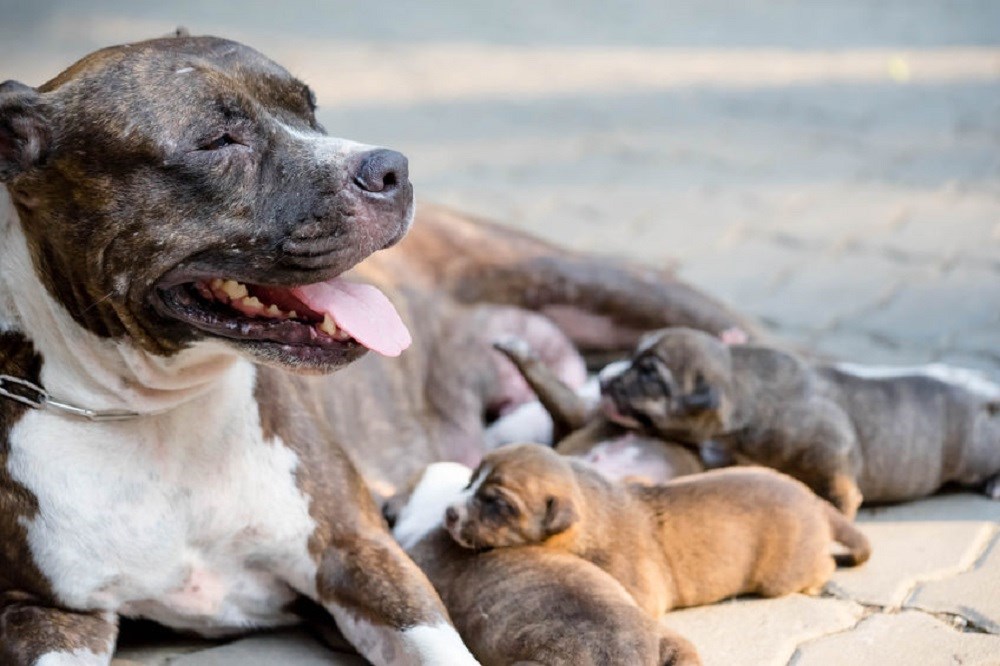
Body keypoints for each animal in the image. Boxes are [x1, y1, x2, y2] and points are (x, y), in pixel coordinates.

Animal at [0, 36, 752, 664]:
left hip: (617, 289)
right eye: (216, 140)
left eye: (312, 110)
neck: (152, 412)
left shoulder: (359, 553)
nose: (390, 166)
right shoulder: (45, 614)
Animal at [600, 328, 1000, 520]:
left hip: (975, 452)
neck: (740, 379)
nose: (602, 378)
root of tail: (985, 394)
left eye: (649, 374)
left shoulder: (833, 453)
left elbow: (839, 493)